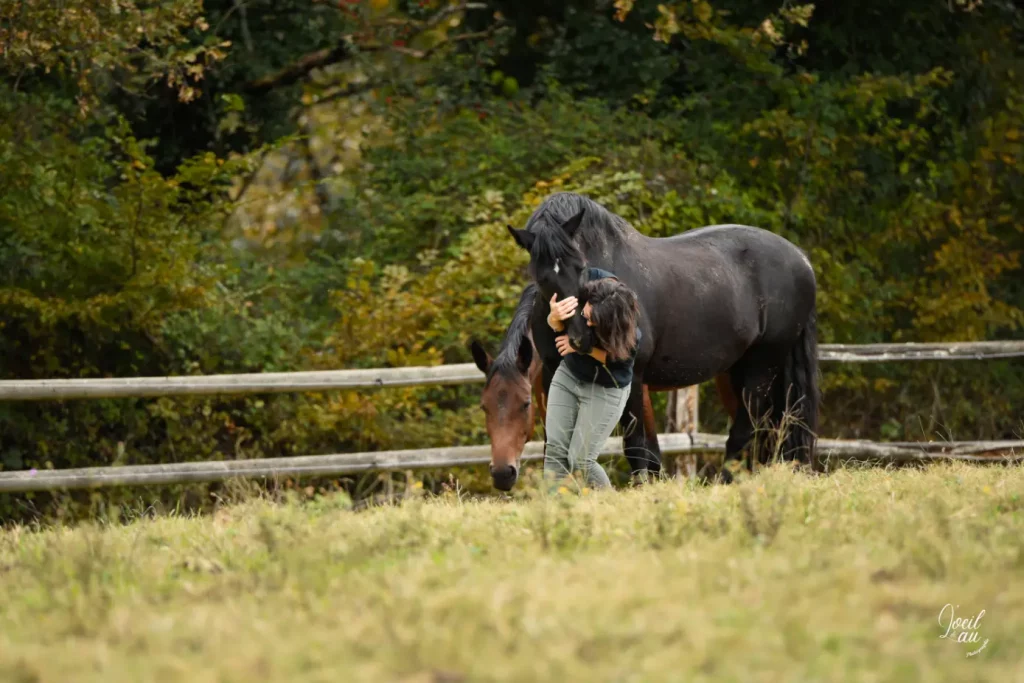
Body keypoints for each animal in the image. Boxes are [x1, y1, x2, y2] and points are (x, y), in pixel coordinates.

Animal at [507, 192, 821, 482]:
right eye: (542, 277)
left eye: (580, 266)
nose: (579, 338)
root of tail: (803, 260)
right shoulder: (552, 376)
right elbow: (554, 443)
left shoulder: (632, 380)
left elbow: (637, 445)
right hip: (741, 370)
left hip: (762, 366)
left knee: (747, 428)